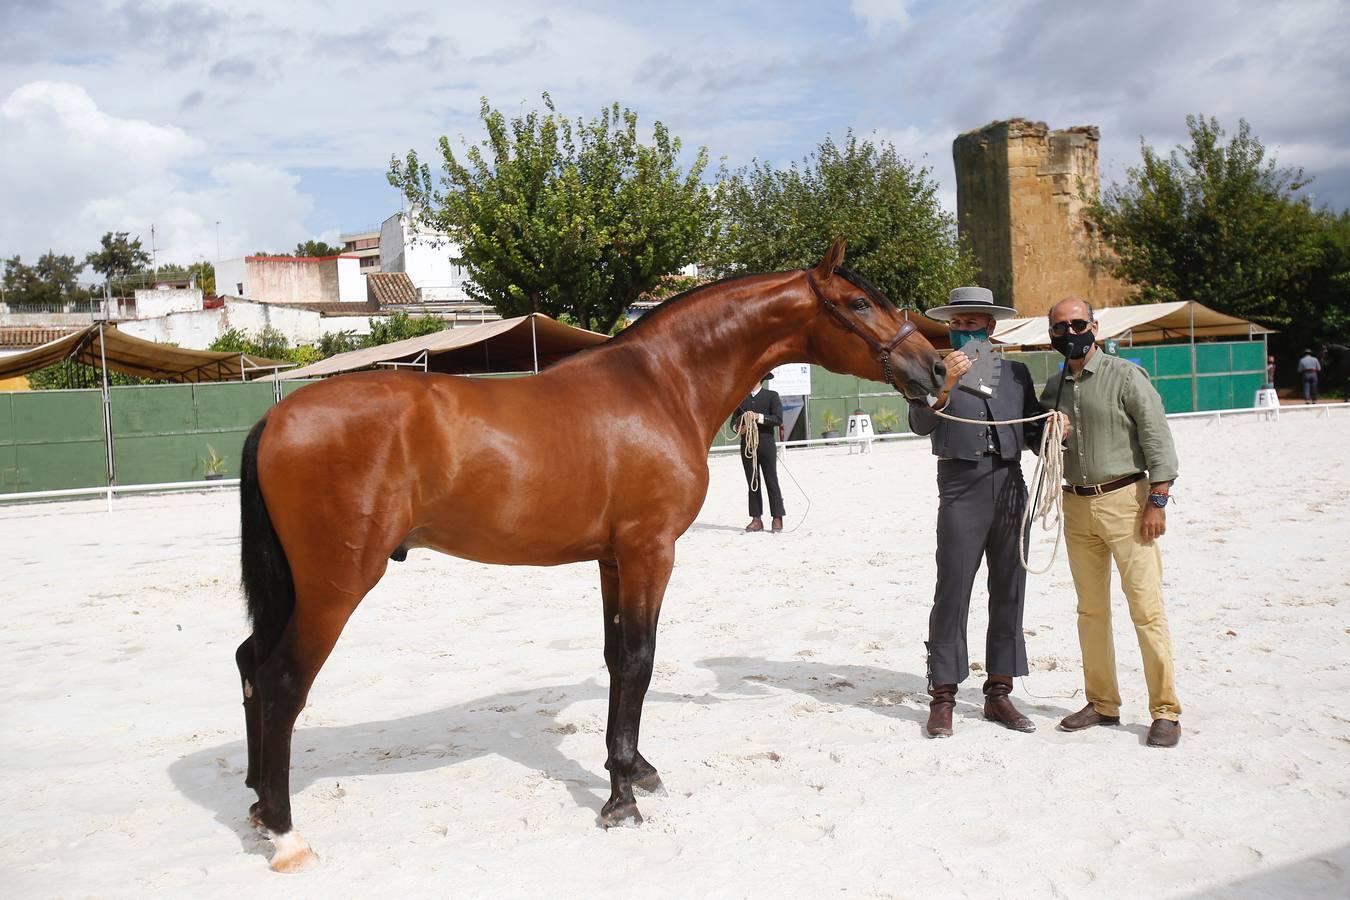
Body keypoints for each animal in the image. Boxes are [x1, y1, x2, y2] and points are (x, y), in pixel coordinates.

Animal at [234, 236, 939, 868]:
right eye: (860, 302)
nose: (934, 367)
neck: (661, 386)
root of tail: (274, 418)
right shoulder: (651, 551)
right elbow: (638, 660)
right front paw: (622, 797)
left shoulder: (612, 559)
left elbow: (613, 657)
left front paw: (634, 768)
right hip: (335, 586)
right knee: (282, 681)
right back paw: (286, 833)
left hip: (299, 588)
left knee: (249, 662)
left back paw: (256, 803)